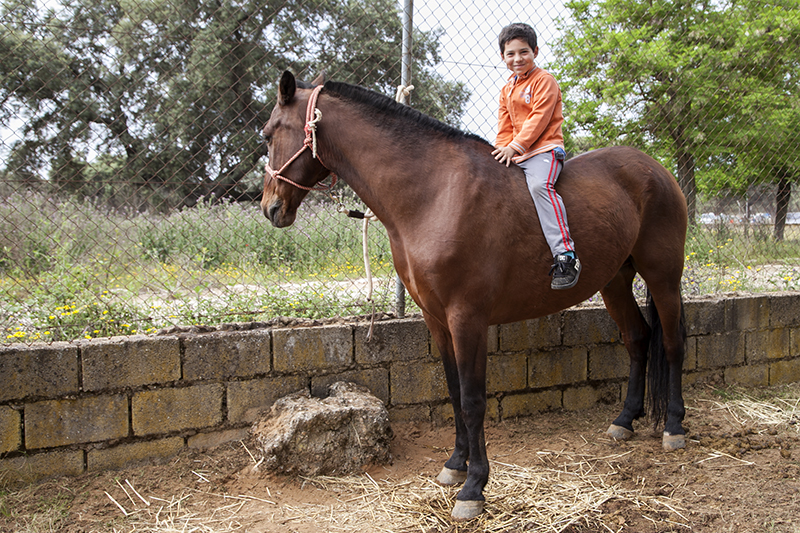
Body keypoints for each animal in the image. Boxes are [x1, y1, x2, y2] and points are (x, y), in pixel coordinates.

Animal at [262, 71, 688, 520]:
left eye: (269, 133)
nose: (270, 207)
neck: (434, 193)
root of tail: (657, 170)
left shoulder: (467, 318)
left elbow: (472, 400)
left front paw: (474, 487)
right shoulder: (436, 320)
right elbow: (453, 393)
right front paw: (455, 465)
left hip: (663, 277)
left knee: (672, 343)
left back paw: (674, 427)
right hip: (615, 281)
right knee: (638, 339)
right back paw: (625, 420)